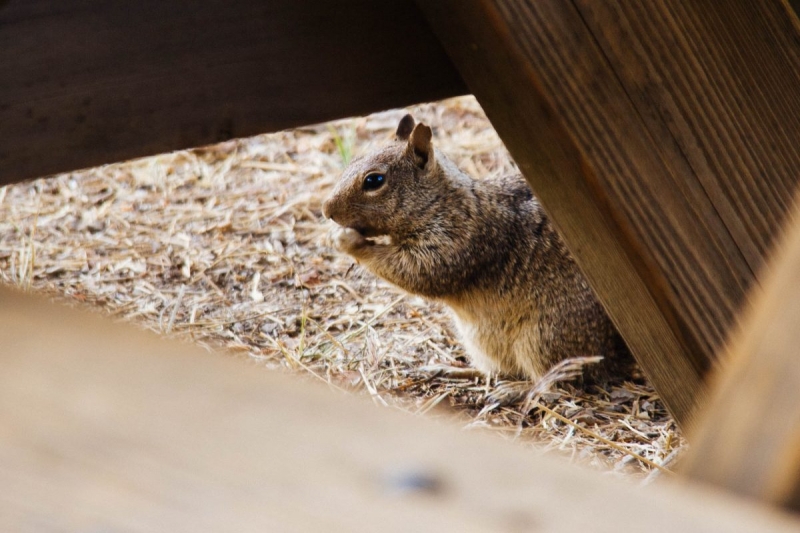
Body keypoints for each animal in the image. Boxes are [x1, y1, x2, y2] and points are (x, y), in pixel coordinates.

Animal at [322, 114, 634, 384]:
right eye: (355, 159)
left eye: (374, 180)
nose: (326, 210)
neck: (441, 203)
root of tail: (612, 352)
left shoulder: (461, 242)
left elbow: (418, 274)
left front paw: (347, 240)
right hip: (483, 342)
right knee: (500, 370)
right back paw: (453, 370)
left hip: (545, 336)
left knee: (554, 381)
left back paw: (515, 391)